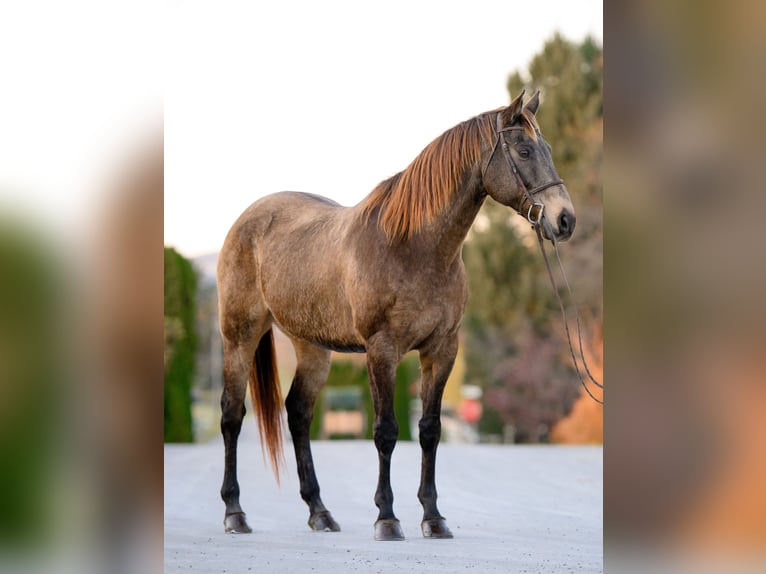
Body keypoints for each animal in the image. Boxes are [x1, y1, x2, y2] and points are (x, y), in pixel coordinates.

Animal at [216, 91, 576, 544]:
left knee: (298, 413)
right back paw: (234, 513)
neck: (415, 247)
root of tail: (245, 221)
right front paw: (387, 518)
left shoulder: (442, 350)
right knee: (232, 415)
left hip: (311, 346)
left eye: (548, 150)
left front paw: (433, 518)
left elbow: (430, 430)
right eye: (525, 151)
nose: (565, 220)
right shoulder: (382, 350)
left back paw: (320, 513)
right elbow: (386, 431)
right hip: (239, 336)